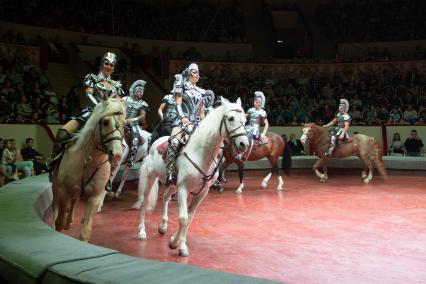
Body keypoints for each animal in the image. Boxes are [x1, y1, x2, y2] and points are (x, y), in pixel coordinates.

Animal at [51, 98, 125, 241]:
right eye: (105, 122)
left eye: (125, 123)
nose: (117, 155)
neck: (89, 161)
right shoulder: (63, 192)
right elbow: (59, 222)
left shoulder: (94, 197)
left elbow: (85, 230)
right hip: (56, 186)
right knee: (55, 204)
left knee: (74, 200)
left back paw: (70, 221)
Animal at [135, 97, 250, 258]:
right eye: (231, 118)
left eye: (245, 120)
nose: (243, 144)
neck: (201, 154)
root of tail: (155, 142)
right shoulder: (183, 189)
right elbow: (183, 218)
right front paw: (177, 244)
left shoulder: (202, 192)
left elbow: (189, 218)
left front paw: (177, 243)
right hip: (150, 178)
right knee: (144, 202)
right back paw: (141, 232)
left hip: (173, 185)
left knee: (165, 197)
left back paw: (163, 226)